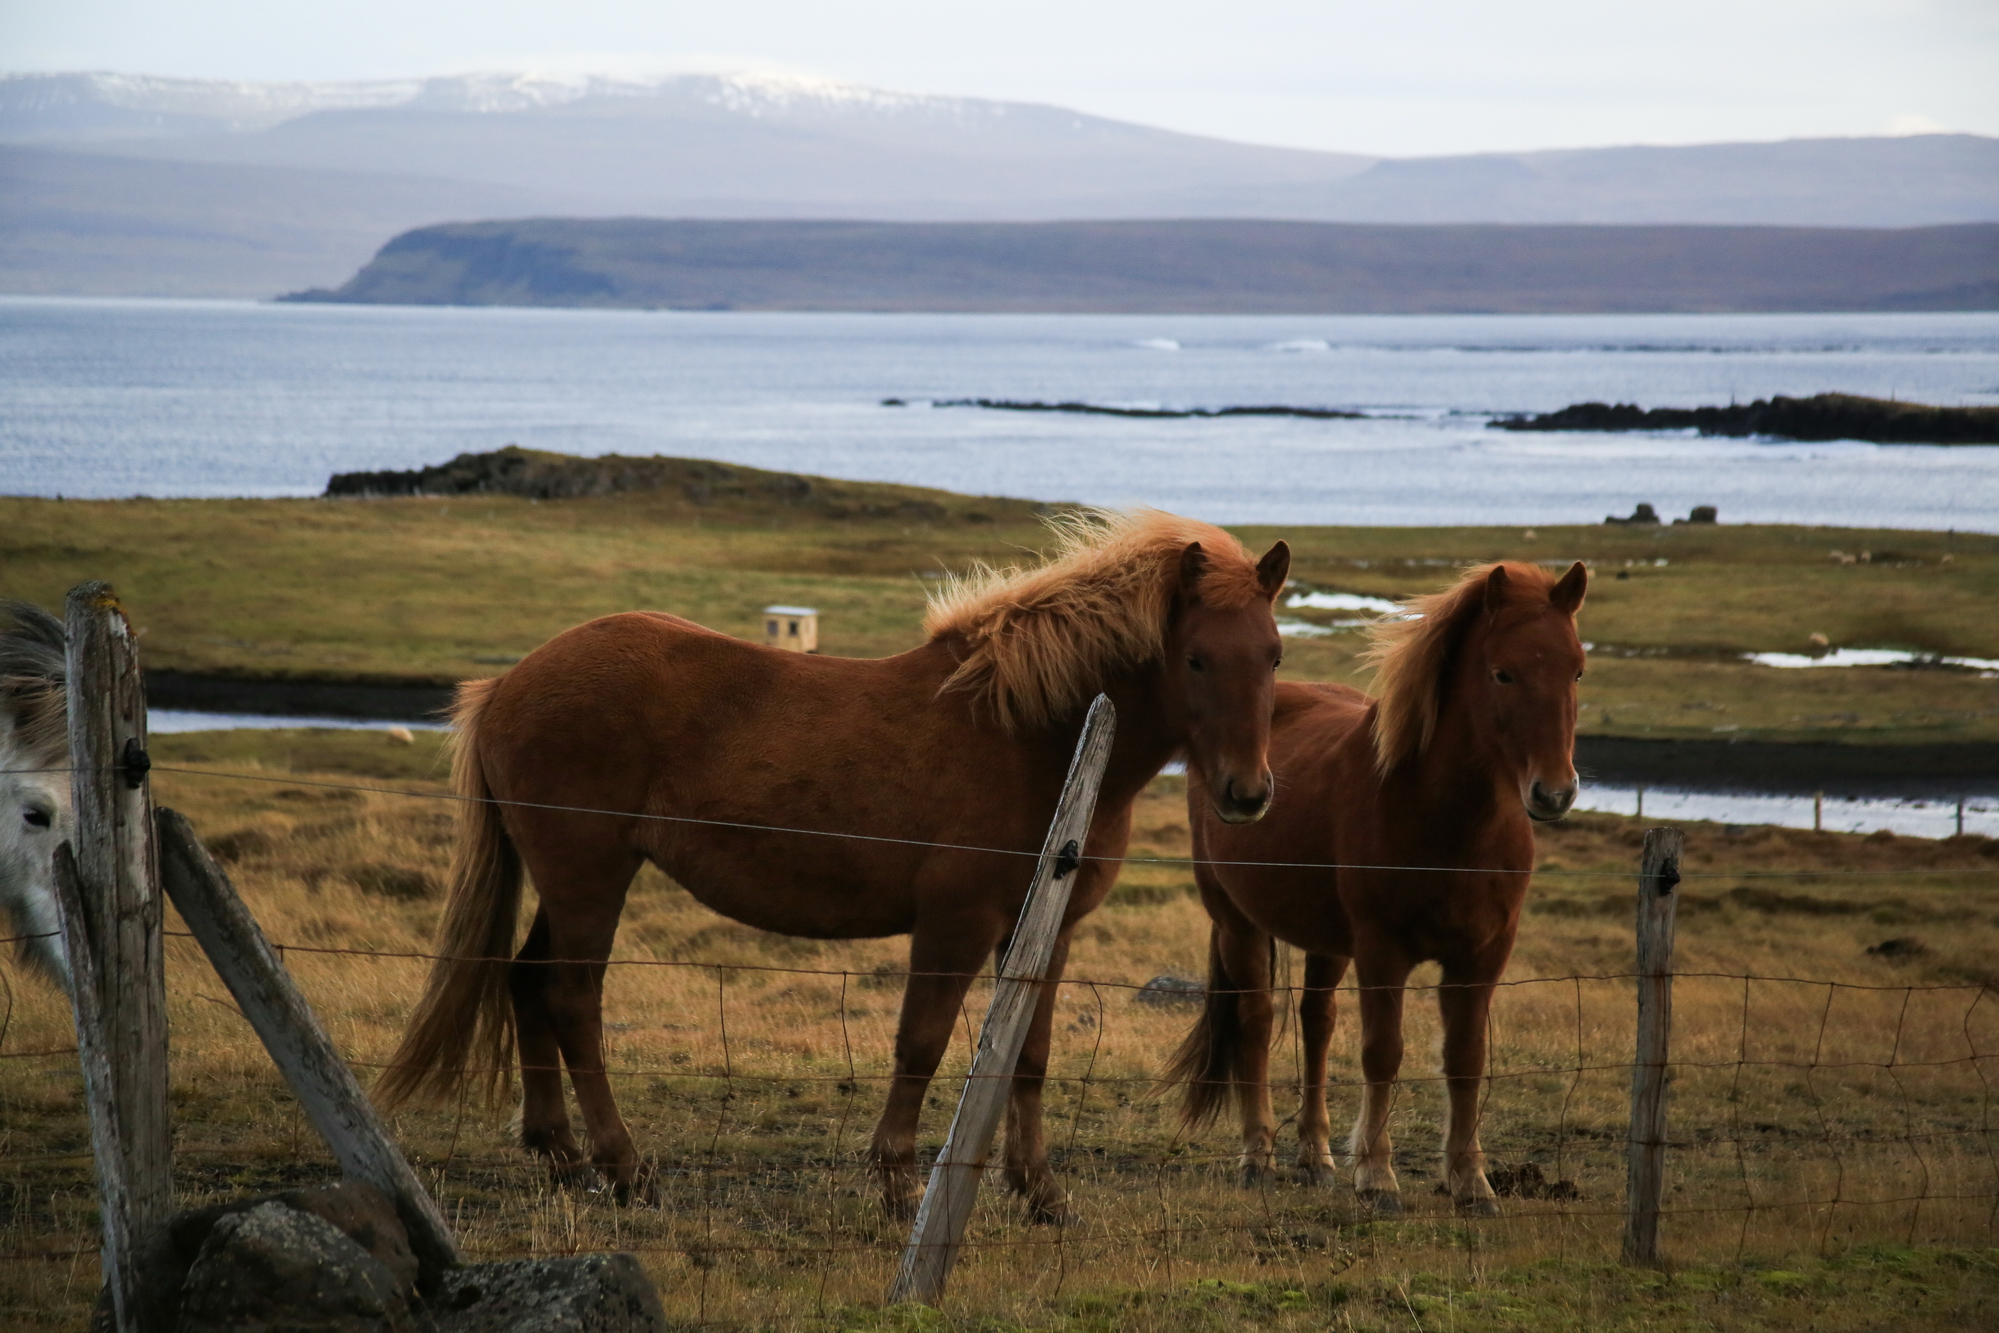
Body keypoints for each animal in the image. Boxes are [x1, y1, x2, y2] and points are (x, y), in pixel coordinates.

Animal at [379, 511, 1287, 1223]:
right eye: (1197, 658)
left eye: (1274, 654)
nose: (1246, 794)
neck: (1034, 736)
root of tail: (507, 685)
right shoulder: (954, 923)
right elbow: (920, 1042)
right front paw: (896, 1183)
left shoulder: (1047, 929)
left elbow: (1027, 1056)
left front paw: (1042, 1193)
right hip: (588, 877)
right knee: (570, 997)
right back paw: (624, 1167)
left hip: (567, 882)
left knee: (527, 980)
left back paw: (561, 1154)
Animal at [1167, 563, 1583, 1223]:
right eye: (1503, 672)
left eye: (1577, 669)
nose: (1554, 793)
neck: (1447, 823)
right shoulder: (1383, 951)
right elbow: (1382, 1052)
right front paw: (1379, 1179)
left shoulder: (1483, 956)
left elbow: (1466, 1059)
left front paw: (1472, 1183)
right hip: (1238, 922)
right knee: (1257, 1022)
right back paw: (1258, 1157)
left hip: (1326, 941)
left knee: (1317, 1023)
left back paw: (1315, 1157)